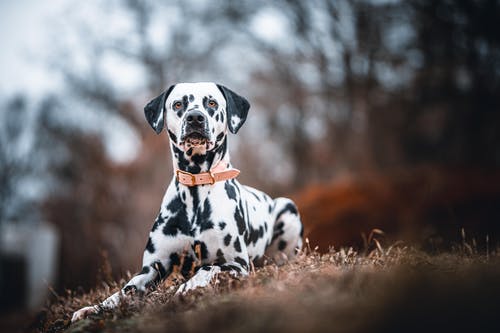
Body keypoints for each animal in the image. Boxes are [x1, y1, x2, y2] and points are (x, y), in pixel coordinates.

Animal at [72, 81, 302, 322]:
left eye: (212, 103)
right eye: (178, 104)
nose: (195, 117)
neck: (196, 192)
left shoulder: (236, 264)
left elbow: (206, 269)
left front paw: (187, 288)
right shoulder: (152, 267)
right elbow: (124, 291)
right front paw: (94, 308)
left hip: (287, 208)